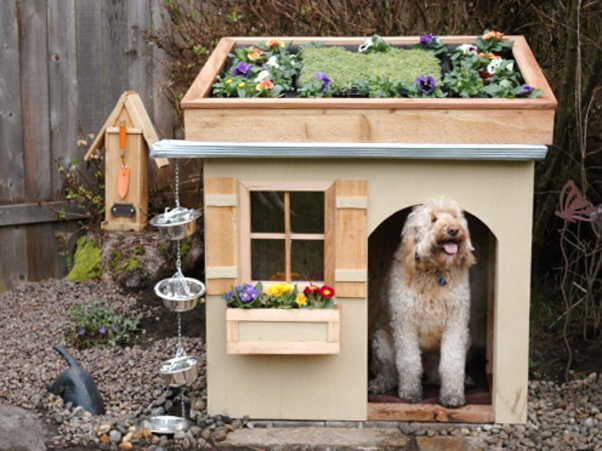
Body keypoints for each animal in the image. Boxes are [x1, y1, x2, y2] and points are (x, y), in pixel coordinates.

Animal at [368, 200, 476, 408]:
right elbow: (409, 363)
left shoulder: (456, 324)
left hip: (466, 338)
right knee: (389, 371)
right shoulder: (405, 324)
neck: (434, 272)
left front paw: (453, 396)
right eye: (433, 219)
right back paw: (381, 384)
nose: (453, 230)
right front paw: (410, 393)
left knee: (436, 374)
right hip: (382, 342)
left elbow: (452, 363)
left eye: (455, 217)